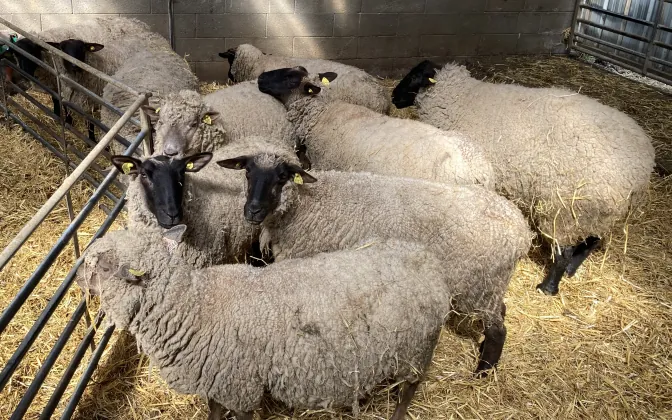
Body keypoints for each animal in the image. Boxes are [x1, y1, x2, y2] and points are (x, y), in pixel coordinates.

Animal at [77, 227, 454, 420]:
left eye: (103, 265)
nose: (76, 275)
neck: (194, 306)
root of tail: (431, 264)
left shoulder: (240, 387)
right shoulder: (219, 381)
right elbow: (214, 412)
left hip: (416, 350)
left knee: (410, 389)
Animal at [217, 153, 533, 374]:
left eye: (282, 176)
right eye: (247, 172)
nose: (253, 211)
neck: (304, 205)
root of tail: (520, 229)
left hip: (479, 284)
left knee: (498, 329)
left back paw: (482, 373)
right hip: (490, 285)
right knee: (501, 313)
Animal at [392, 60, 656, 295]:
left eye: (414, 77)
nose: (394, 97)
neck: (462, 99)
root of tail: (642, 166)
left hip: (568, 208)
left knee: (564, 251)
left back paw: (548, 287)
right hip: (598, 211)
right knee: (591, 242)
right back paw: (571, 270)